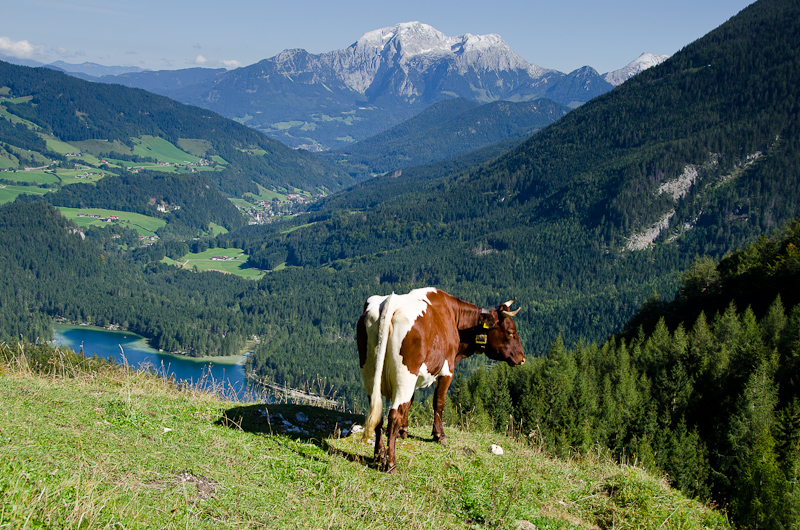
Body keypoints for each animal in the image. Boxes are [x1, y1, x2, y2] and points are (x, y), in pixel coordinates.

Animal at [356, 286, 524, 472]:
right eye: (511, 332)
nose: (522, 358)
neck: (454, 317)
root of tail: (390, 302)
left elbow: (411, 401)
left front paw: (404, 431)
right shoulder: (448, 369)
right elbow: (439, 402)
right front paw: (439, 435)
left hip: (370, 372)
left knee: (378, 411)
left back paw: (379, 455)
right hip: (405, 373)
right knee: (394, 415)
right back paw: (391, 463)